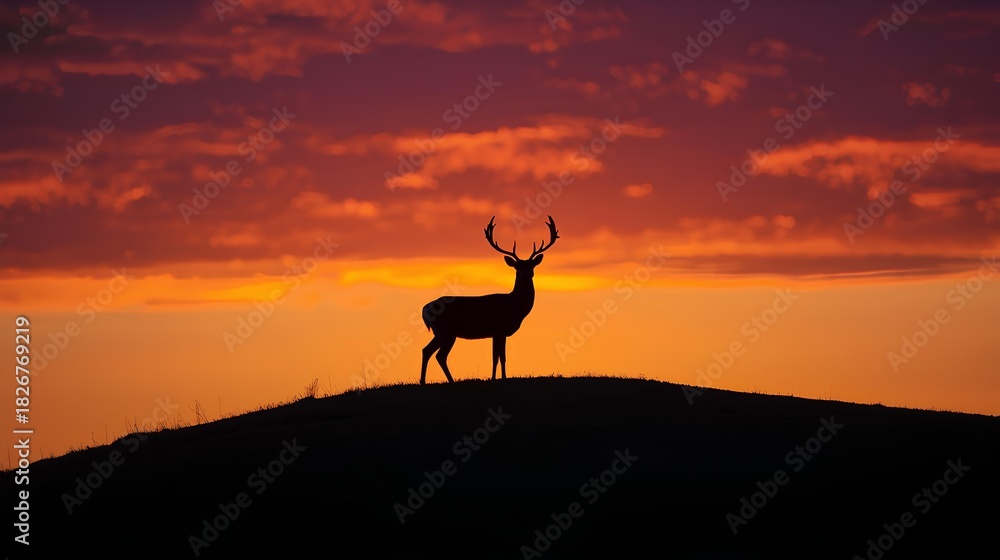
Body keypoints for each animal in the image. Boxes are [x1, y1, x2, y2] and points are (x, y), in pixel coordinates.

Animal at [420, 215, 559, 385]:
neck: (514, 306)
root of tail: (425, 309)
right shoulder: (499, 329)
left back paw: (424, 381)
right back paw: (449, 381)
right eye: (517, 267)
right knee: (439, 355)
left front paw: (498, 377)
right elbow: (498, 358)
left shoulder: (498, 333)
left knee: (427, 350)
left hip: (440, 332)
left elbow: (499, 357)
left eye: (532, 265)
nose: (526, 274)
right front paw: (500, 378)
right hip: (446, 331)